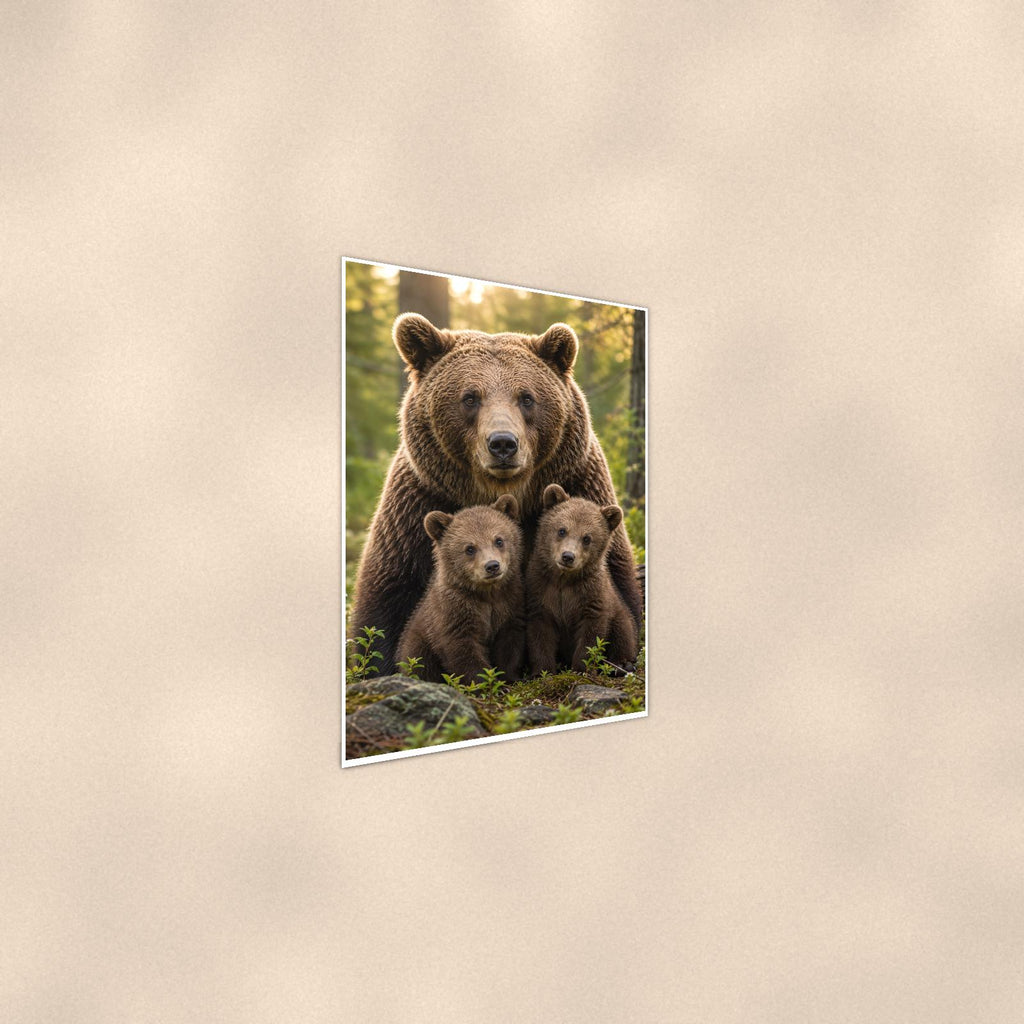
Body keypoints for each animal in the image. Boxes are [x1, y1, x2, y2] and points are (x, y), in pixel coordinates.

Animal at [395, 495, 525, 684]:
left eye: (499, 540)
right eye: (469, 548)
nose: (492, 566)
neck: (487, 594)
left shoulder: (509, 604)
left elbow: (509, 645)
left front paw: (509, 678)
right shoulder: (454, 612)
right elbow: (462, 650)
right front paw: (485, 682)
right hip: (417, 643)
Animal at [526, 484, 638, 675]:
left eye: (587, 538)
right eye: (562, 530)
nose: (568, 556)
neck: (564, 580)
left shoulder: (592, 596)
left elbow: (591, 635)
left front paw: (581, 668)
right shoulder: (540, 591)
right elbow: (540, 634)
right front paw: (542, 671)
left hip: (619, 613)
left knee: (623, 632)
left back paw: (622, 664)